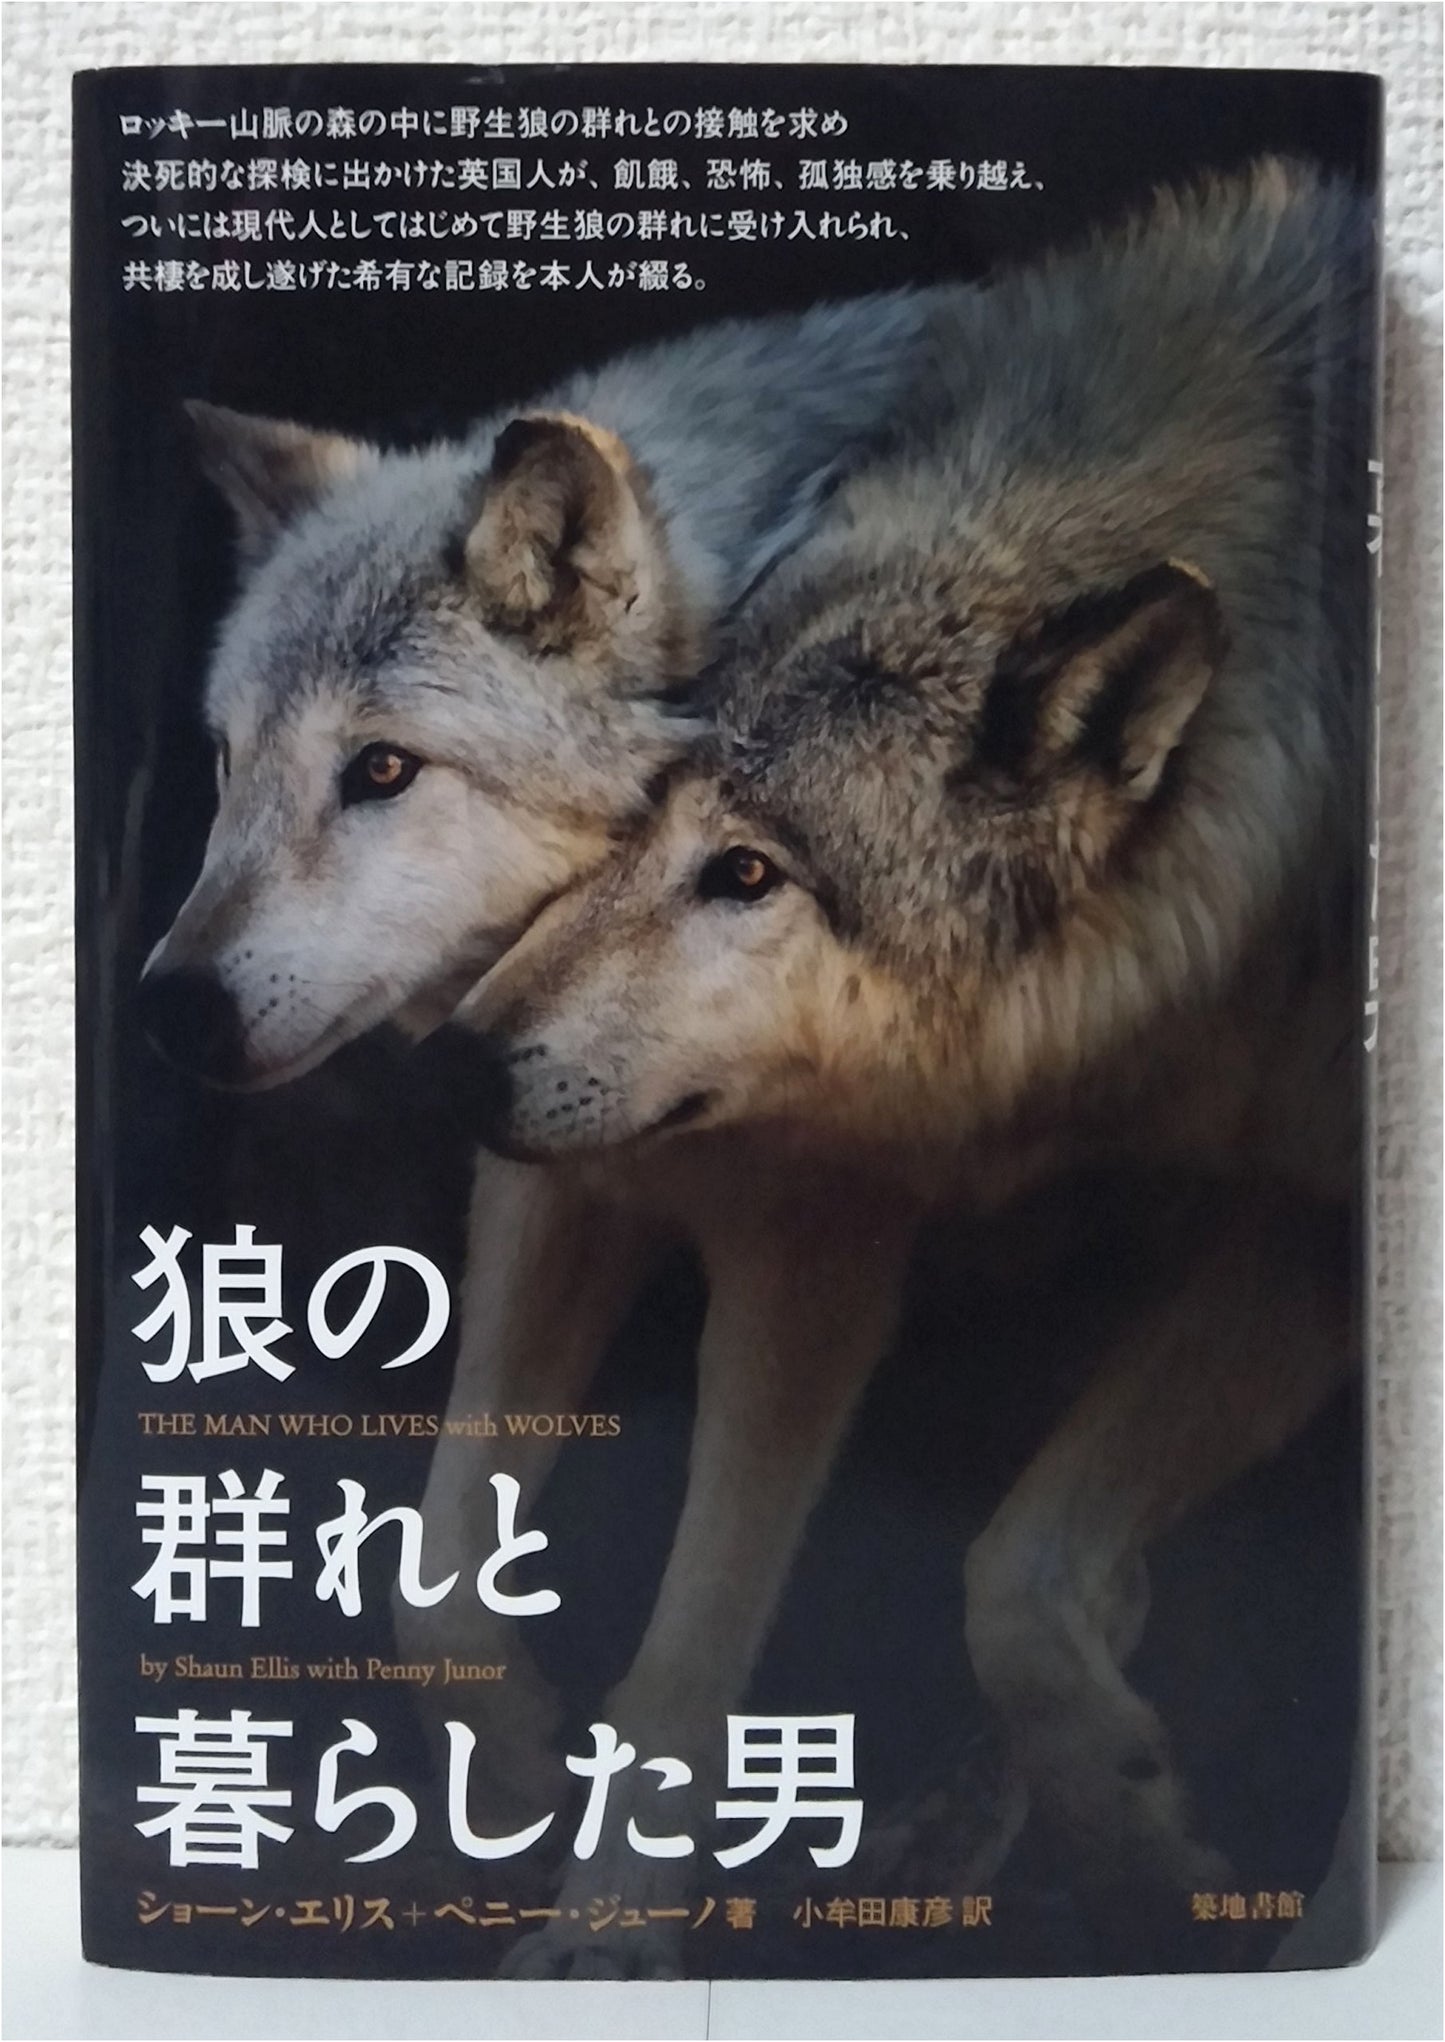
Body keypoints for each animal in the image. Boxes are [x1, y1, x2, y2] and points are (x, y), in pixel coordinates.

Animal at [454, 159, 1372, 1966]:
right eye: (624, 819)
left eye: (747, 872)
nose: (462, 1067)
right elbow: (1003, 1582)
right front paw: (1132, 1840)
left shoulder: (1314, 1211)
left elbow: (1011, 1587)